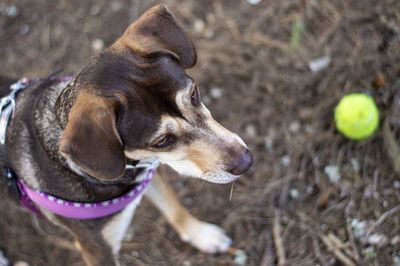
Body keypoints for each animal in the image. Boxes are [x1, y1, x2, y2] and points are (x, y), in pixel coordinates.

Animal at [0, 4, 252, 266]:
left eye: (193, 95)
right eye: (162, 141)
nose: (246, 162)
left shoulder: (148, 172)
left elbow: (174, 208)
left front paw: (202, 235)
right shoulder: (97, 250)